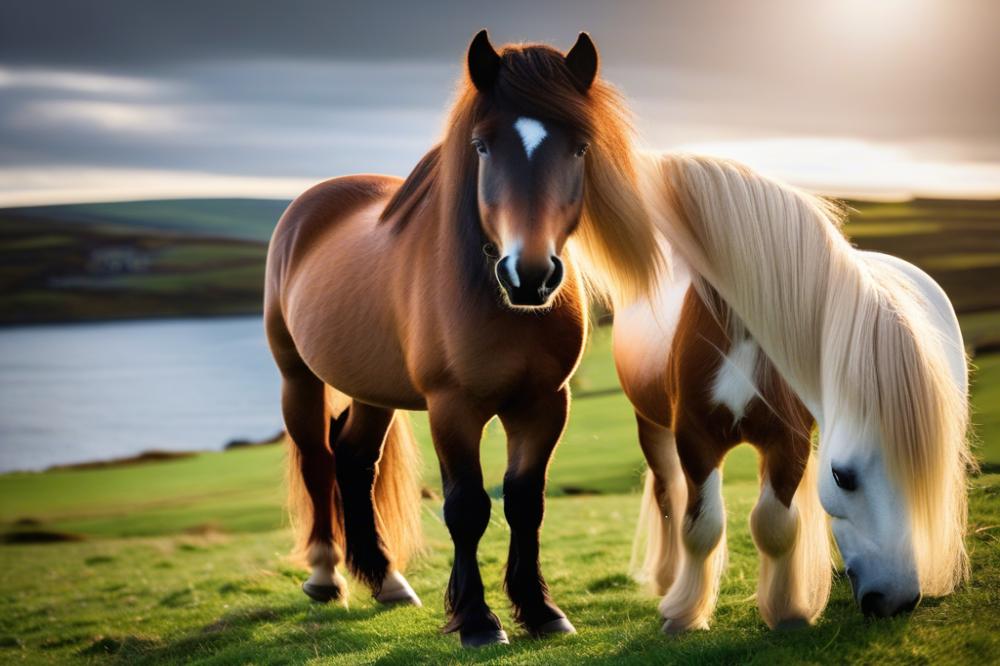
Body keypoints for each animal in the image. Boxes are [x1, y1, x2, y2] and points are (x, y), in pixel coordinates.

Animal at [262, 29, 660, 644]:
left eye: (578, 147)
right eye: (482, 147)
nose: (530, 275)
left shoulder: (545, 404)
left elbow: (525, 502)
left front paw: (540, 610)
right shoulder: (453, 407)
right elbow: (468, 507)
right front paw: (476, 619)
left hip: (371, 389)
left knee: (354, 460)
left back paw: (387, 580)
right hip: (297, 377)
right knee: (317, 461)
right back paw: (328, 577)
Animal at [620, 153, 972, 632]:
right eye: (842, 476)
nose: (896, 600)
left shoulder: (789, 441)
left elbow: (775, 524)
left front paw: (788, 611)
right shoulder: (695, 437)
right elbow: (701, 526)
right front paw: (684, 615)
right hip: (650, 426)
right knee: (667, 493)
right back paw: (666, 579)